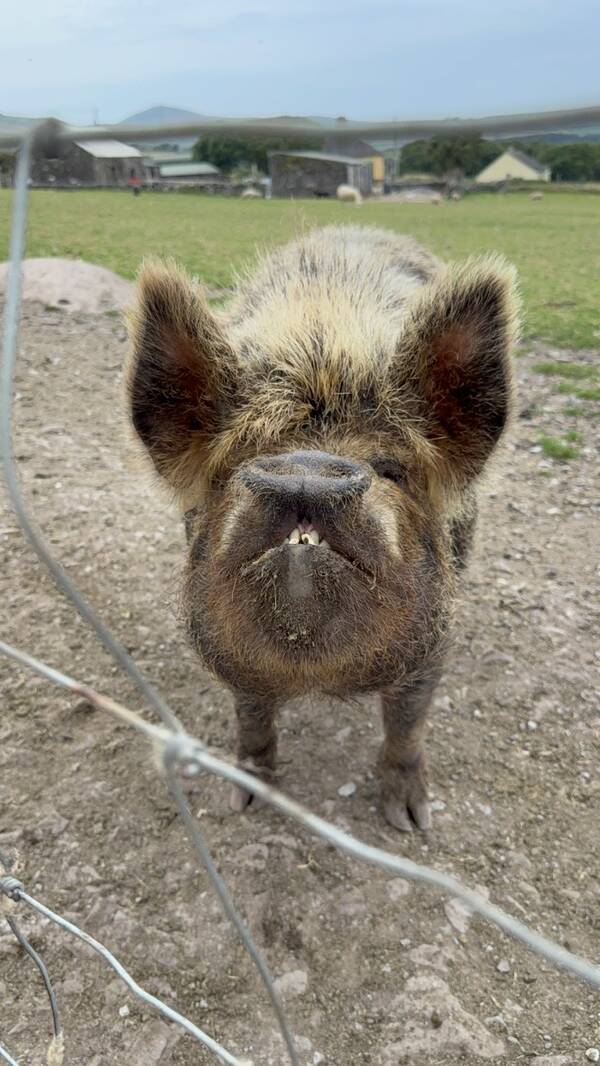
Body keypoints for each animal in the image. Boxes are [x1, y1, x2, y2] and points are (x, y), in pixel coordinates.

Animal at [126, 225, 518, 831]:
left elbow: (407, 720)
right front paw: (245, 801)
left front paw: (411, 821)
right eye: (233, 466)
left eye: (391, 469)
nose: (307, 468)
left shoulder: (436, 639)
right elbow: (251, 714)